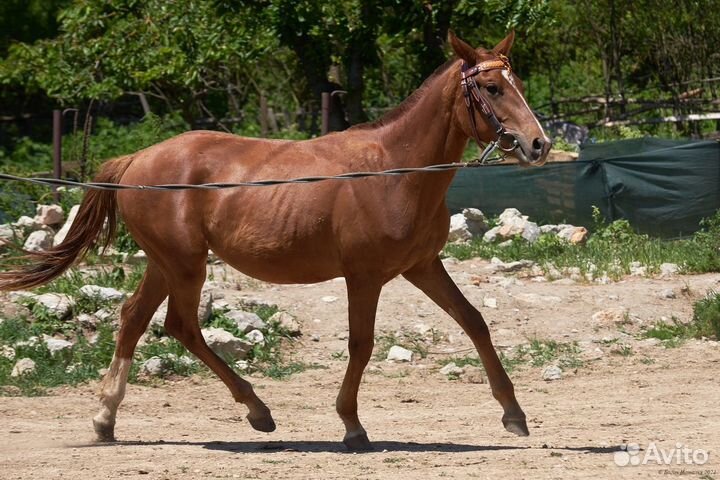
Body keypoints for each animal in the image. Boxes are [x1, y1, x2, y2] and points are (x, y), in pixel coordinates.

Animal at [1, 32, 552, 450]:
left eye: (518, 83)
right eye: (491, 87)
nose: (538, 144)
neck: (392, 170)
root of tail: (135, 161)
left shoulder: (422, 266)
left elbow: (474, 322)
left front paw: (514, 413)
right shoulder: (365, 276)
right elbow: (361, 344)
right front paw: (352, 426)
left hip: (166, 264)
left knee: (136, 319)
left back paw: (107, 419)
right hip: (184, 265)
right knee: (181, 326)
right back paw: (257, 411)